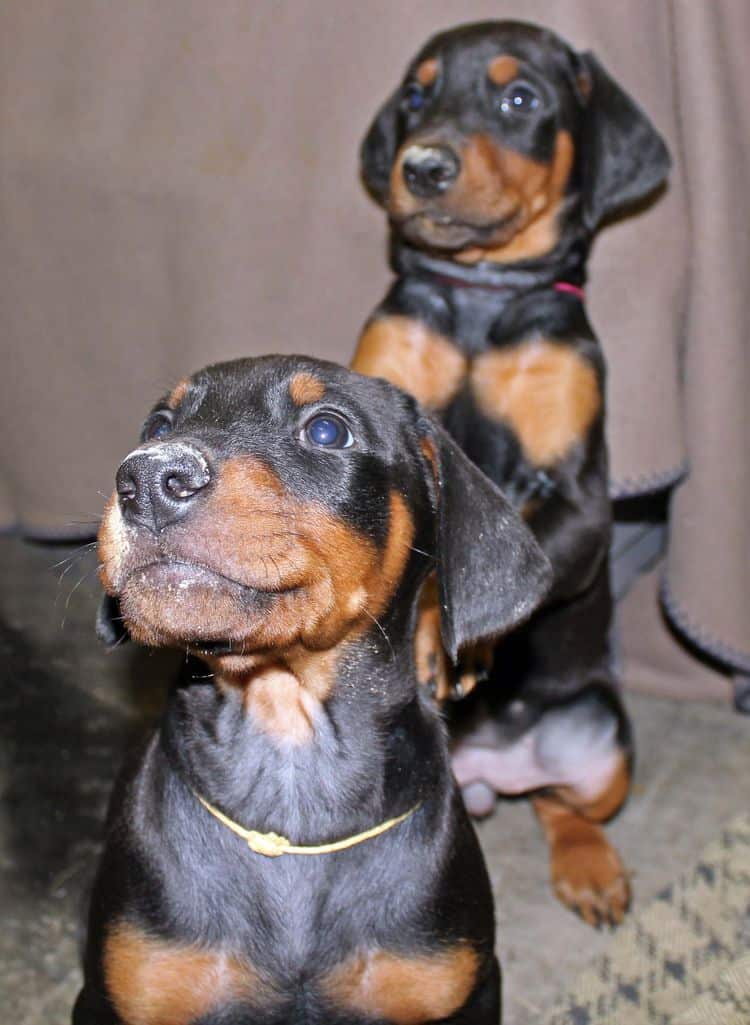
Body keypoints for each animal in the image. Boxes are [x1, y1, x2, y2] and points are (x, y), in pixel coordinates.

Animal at [352, 19, 672, 926]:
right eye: (417, 93)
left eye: (520, 97)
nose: (422, 165)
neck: (479, 295)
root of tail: (490, 773)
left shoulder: (577, 498)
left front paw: (439, 641)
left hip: (600, 738)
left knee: (565, 803)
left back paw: (590, 866)